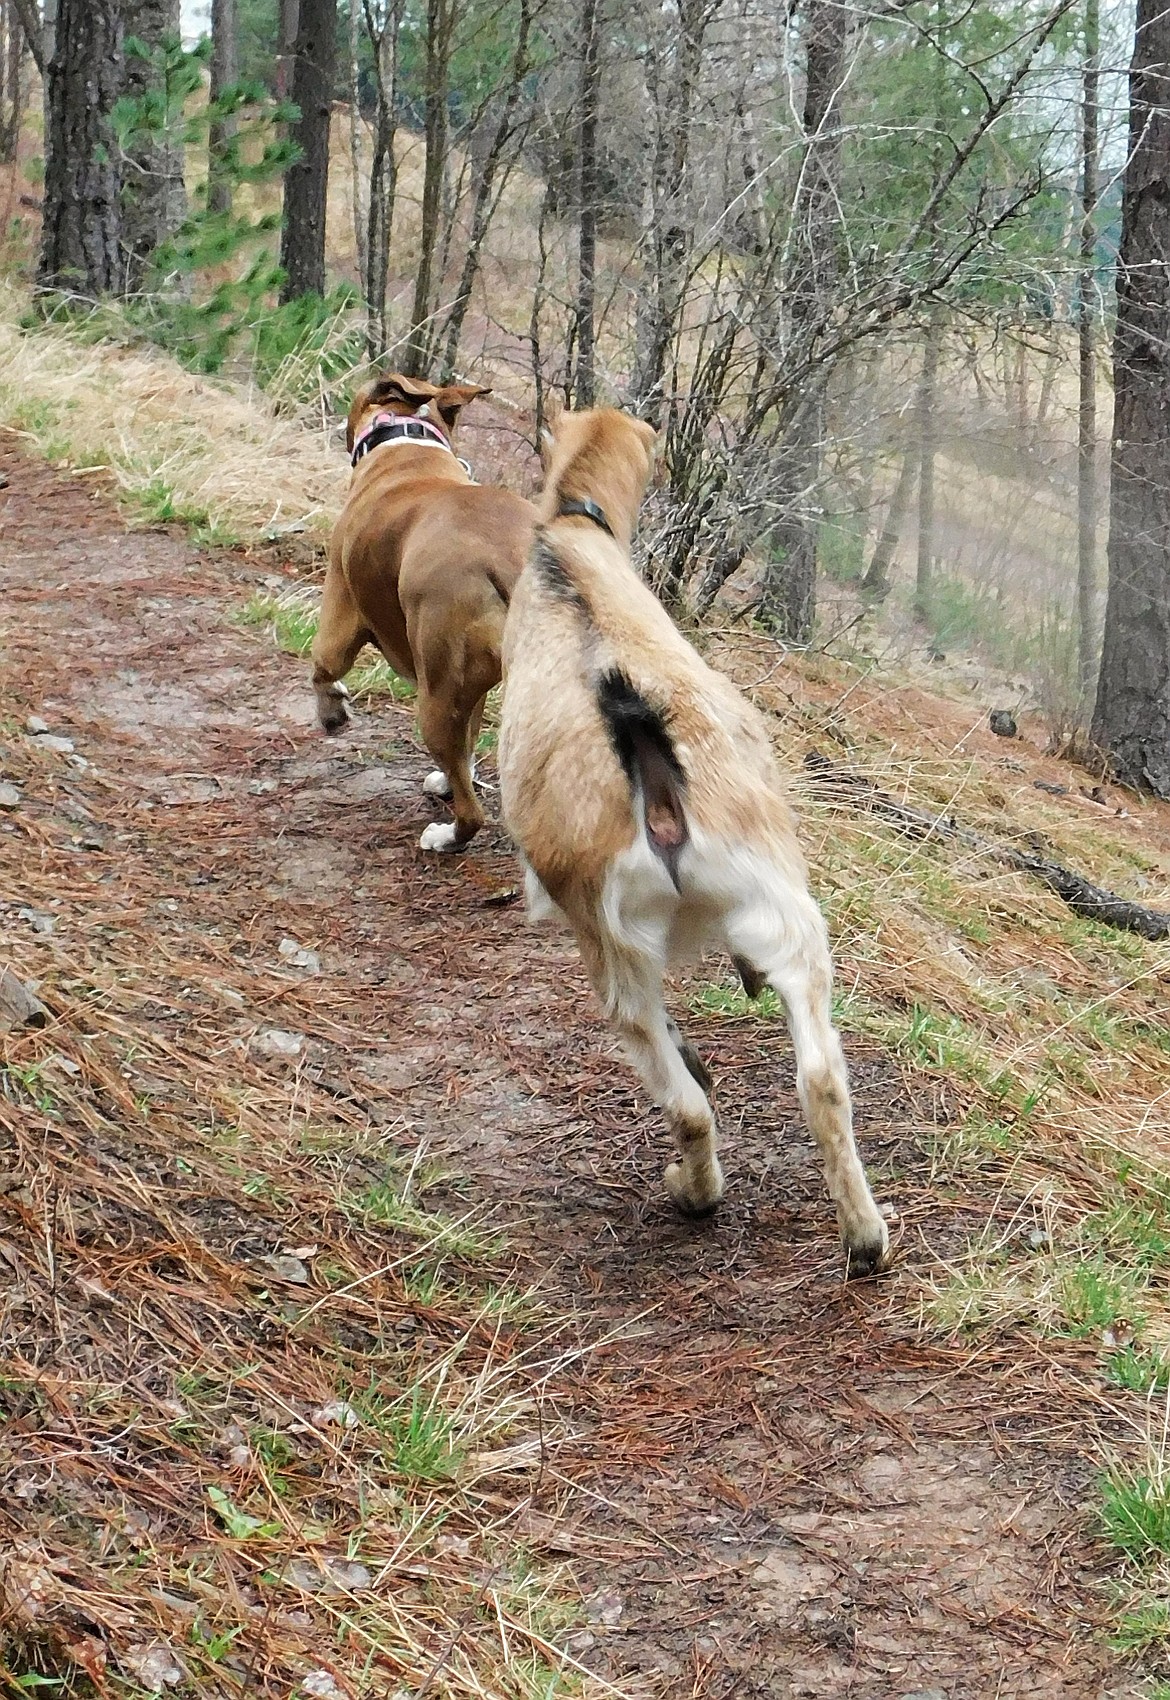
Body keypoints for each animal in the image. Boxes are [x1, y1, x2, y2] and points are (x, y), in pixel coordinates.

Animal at [312, 372, 537, 850]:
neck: (407, 438)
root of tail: (513, 559)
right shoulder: (474, 689)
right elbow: (468, 743)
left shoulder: (340, 615)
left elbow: (324, 667)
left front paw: (333, 710)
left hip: (434, 696)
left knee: (473, 815)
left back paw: (446, 837)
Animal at [496, 408, 891, 1278]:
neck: (569, 545)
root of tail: (642, 737)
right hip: (783, 905)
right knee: (821, 1077)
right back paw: (865, 1238)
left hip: (614, 950)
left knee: (684, 1100)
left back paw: (694, 1190)